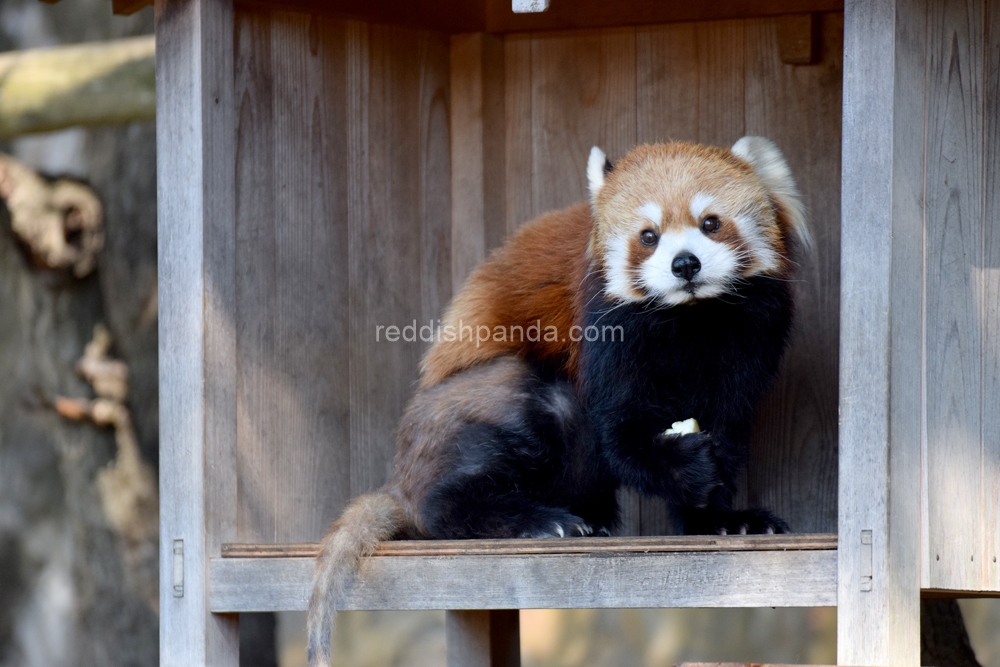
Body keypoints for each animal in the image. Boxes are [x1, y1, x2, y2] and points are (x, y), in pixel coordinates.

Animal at [308, 138, 808, 664]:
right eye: (648, 236)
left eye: (710, 222)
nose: (684, 263)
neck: (691, 319)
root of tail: (402, 474)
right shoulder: (608, 334)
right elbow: (620, 437)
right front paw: (684, 464)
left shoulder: (746, 342)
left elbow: (726, 429)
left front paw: (722, 517)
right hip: (484, 406)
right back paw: (538, 520)